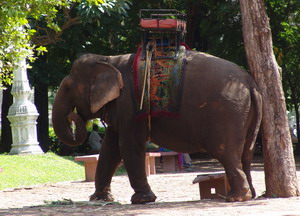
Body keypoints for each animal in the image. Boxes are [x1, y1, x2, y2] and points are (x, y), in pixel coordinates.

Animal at [52, 50, 262, 204]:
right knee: (246, 154)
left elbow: (127, 146)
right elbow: (109, 149)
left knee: (226, 153)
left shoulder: (131, 105)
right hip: (245, 114)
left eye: (68, 88)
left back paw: (235, 198)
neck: (108, 59)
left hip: (228, 114)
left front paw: (142, 200)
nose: (73, 115)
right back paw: (251, 194)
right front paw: (99, 199)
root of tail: (250, 82)